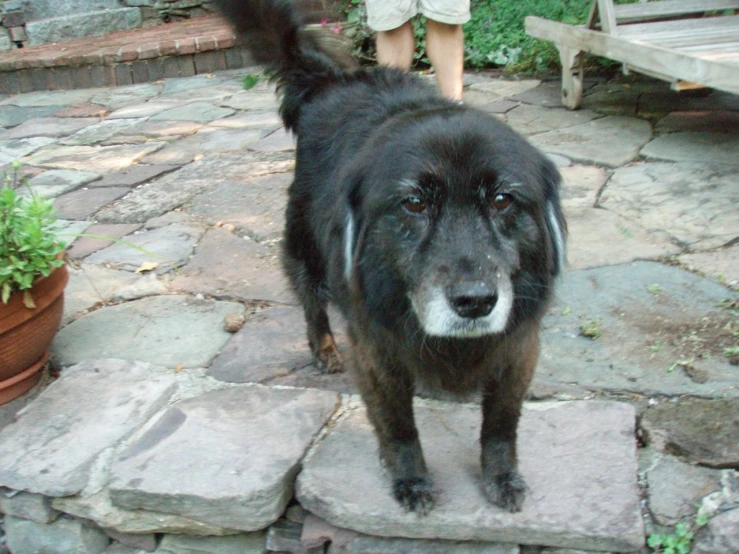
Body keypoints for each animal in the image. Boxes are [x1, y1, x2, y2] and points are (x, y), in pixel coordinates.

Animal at [214, 0, 568, 512]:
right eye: (413, 203)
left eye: (503, 200)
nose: (476, 302)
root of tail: (334, 81)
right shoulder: (376, 349)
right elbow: (399, 425)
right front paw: (411, 479)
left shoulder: (518, 344)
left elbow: (501, 423)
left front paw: (501, 475)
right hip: (306, 250)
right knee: (311, 300)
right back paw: (323, 349)